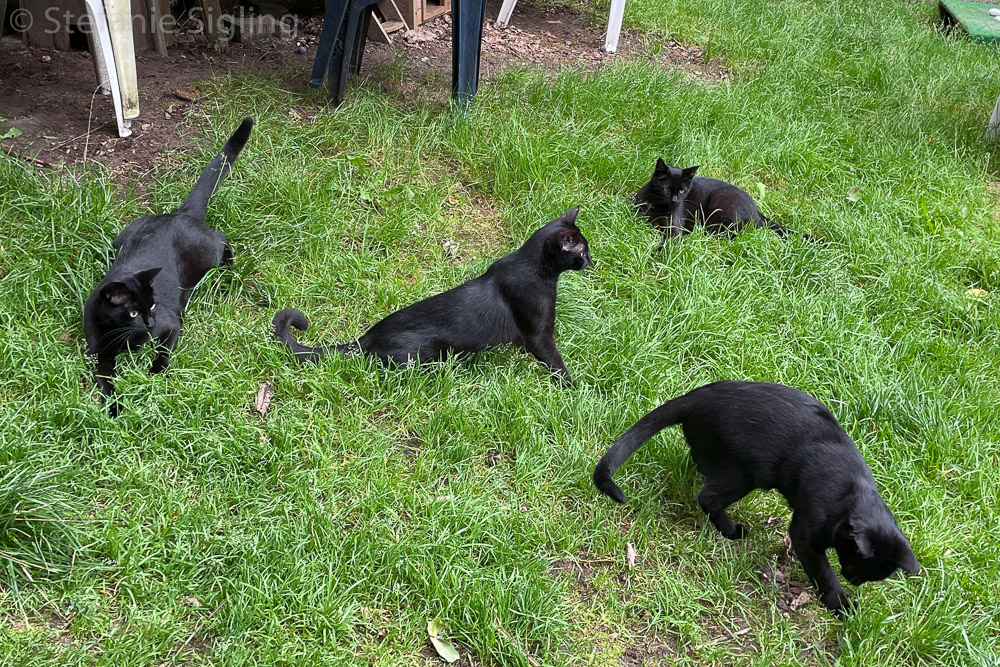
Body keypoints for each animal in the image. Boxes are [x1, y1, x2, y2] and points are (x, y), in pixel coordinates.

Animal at [84, 117, 254, 414]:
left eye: (152, 306)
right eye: (132, 312)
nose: (150, 323)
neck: (121, 335)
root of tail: (180, 214)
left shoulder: (171, 324)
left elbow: (164, 351)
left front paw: (155, 374)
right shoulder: (98, 354)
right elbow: (105, 384)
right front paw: (115, 410)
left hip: (209, 252)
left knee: (223, 240)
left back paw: (231, 269)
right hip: (120, 240)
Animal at [270, 205, 588, 386]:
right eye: (582, 251)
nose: (592, 260)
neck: (533, 267)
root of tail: (364, 340)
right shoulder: (539, 333)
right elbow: (556, 363)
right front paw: (573, 389)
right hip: (424, 354)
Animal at [592, 380, 920, 616]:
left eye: (873, 576)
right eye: (857, 563)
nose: (854, 580)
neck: (852, 494)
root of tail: (696, 396)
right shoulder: (804, 534)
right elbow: (824, 573)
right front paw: (840, 603)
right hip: (743, 474)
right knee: (708, 498)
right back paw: (732, 531)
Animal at [636, 160, 816, 245]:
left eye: (681, 191)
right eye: (666, 189)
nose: (674, 200)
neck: (658, 206)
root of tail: (757, 211)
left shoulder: (674, 228)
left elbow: (669, 240)